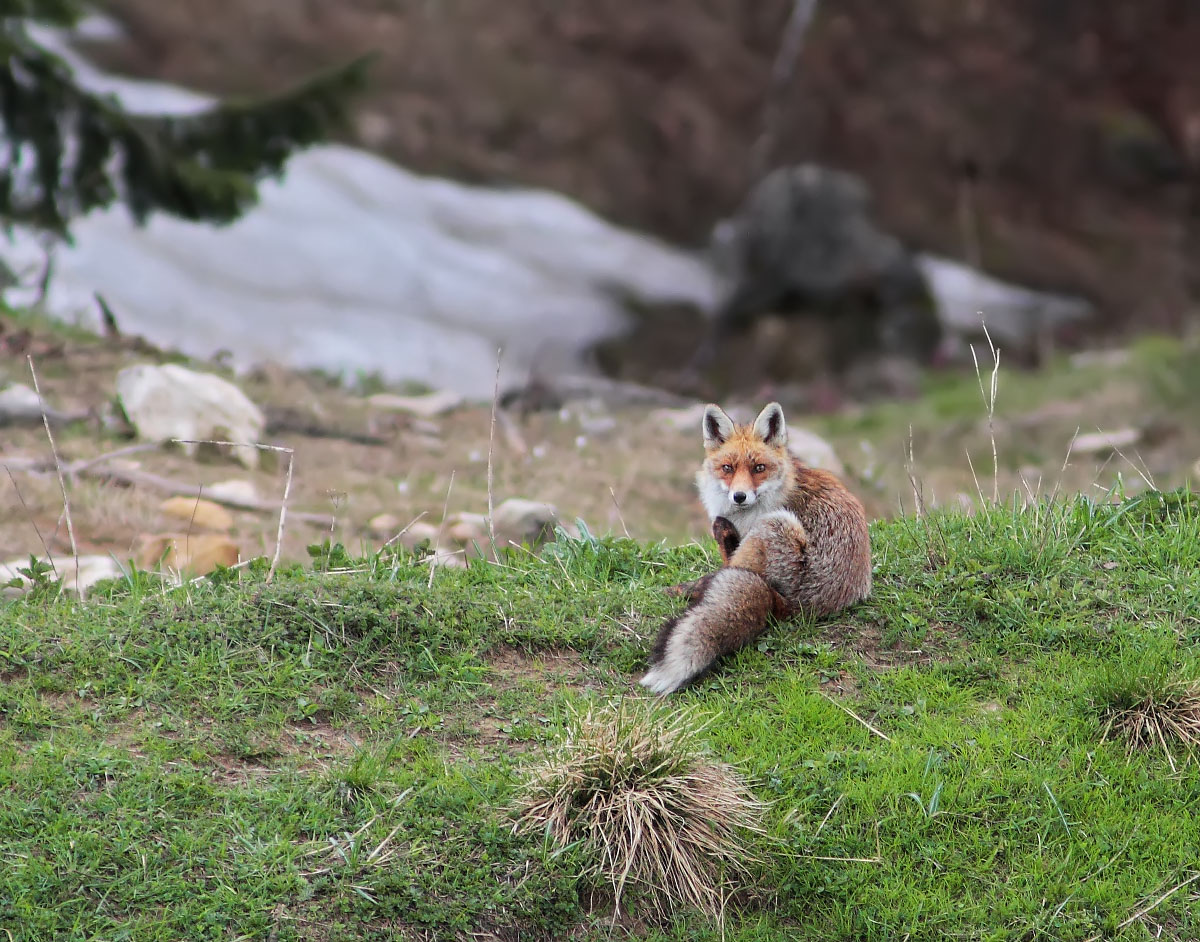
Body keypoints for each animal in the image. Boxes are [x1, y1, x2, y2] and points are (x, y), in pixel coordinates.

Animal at [640, 401, 872, 695]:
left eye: (759, 467)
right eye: (727, 468)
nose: (739, 496)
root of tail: (798, 606)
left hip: (775, 526)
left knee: (731, 567)